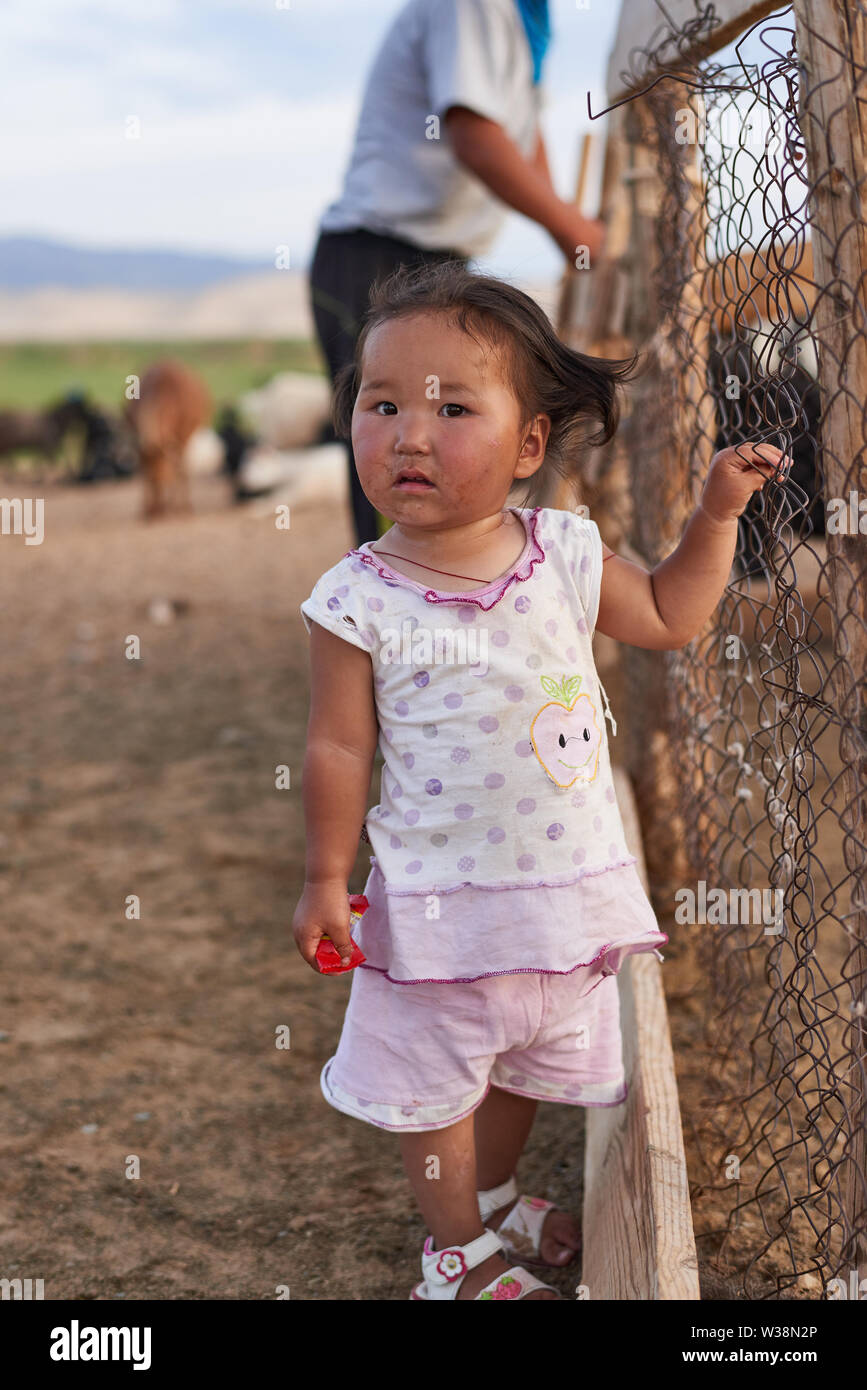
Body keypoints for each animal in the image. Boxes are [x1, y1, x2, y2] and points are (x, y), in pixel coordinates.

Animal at [124, 361, 212, 519]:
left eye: (162, 458)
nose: (158, 509)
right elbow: (145, 475)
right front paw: (149, 510)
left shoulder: (179, 437)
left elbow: (178, 469)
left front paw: (175, 508)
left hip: (186, 438)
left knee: (182, 467)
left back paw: (182, 506)